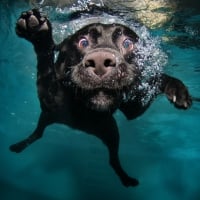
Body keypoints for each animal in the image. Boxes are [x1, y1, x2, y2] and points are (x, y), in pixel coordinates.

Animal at [10, 8, 191, 187]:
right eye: (83, 42)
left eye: (128, 43)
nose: (99, 61)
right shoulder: (50, 98)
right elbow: (46, 67)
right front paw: (38, 33)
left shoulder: (134, 108)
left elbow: (157, 79)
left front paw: (178, 89)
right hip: (49, 117)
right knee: (38, 133)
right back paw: (19, 146)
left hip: (110, 131)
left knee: (112, 159)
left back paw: (126, 179)